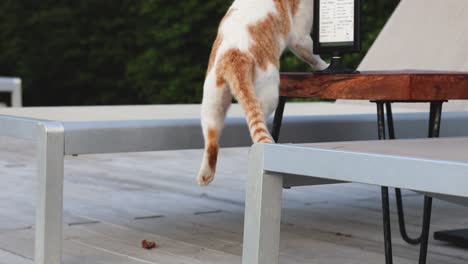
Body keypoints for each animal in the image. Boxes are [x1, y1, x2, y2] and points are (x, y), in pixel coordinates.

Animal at [197, 0, 326, 186]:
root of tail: (234, 55)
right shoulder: (300, 36)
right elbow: (313, 55)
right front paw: (324, 66)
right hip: (269, 92)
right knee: (256, 124)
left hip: (212, 100)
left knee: (212, 139)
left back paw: (205, 176)